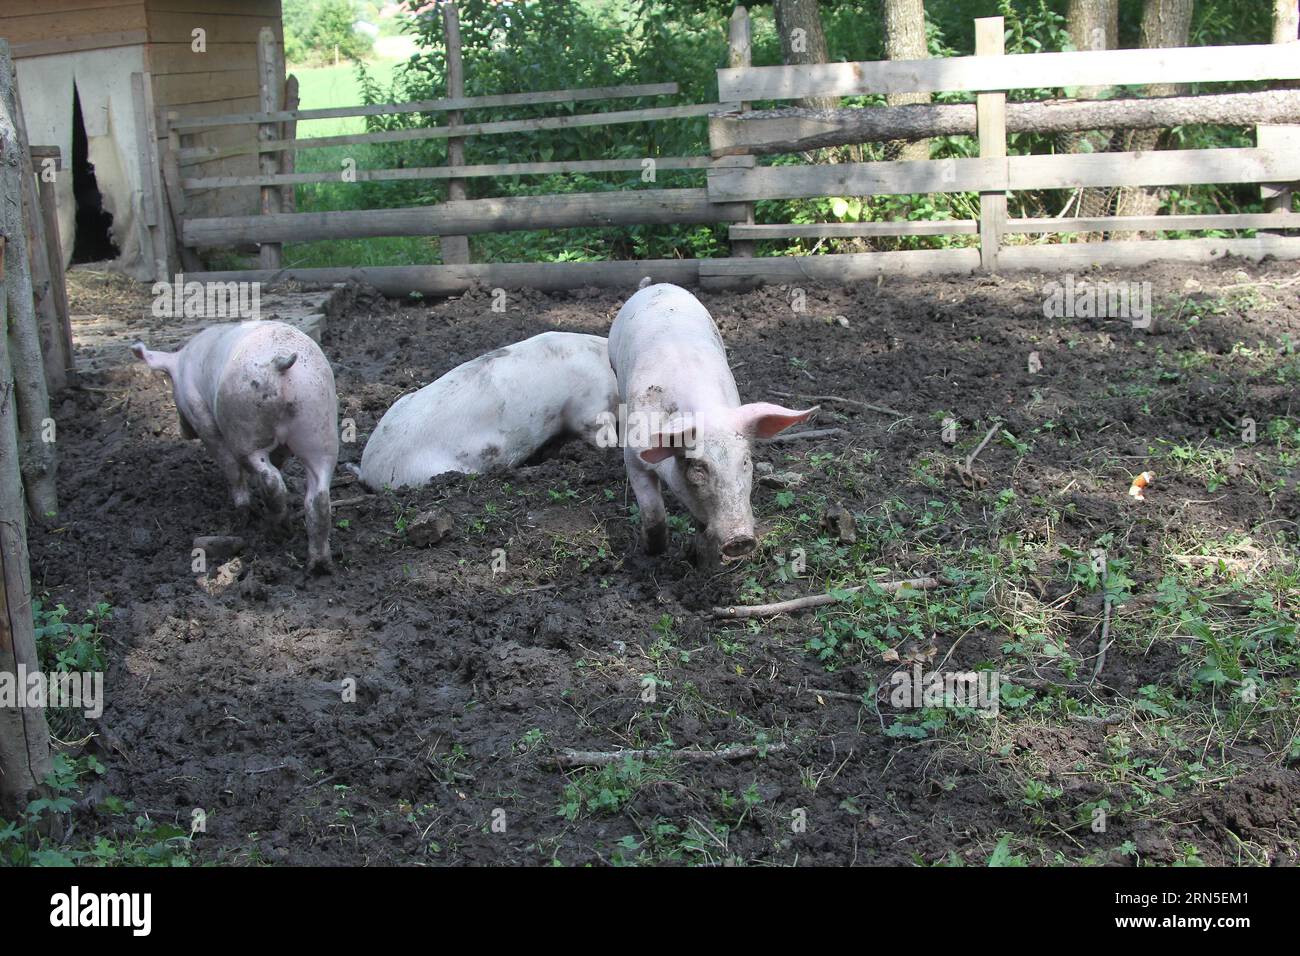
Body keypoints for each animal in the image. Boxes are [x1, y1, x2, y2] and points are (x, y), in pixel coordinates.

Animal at [129, 321, 335, 574]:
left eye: (172, 388)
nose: (183, 432)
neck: (183, 362)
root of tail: (280, 364)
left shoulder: (200, 414)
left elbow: (229, 465)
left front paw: (242, 511)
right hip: (319, 422)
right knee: (319, 495)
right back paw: (319, 565)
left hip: (245, 428)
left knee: (269, 478)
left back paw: (275, 528)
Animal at [605, 282, 811, 561]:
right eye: (699, 468)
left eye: (745, 461)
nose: (741, 539)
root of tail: (656, 286)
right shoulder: (634, 458)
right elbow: (653, 513)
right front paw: (652, 552)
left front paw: (700, 557)